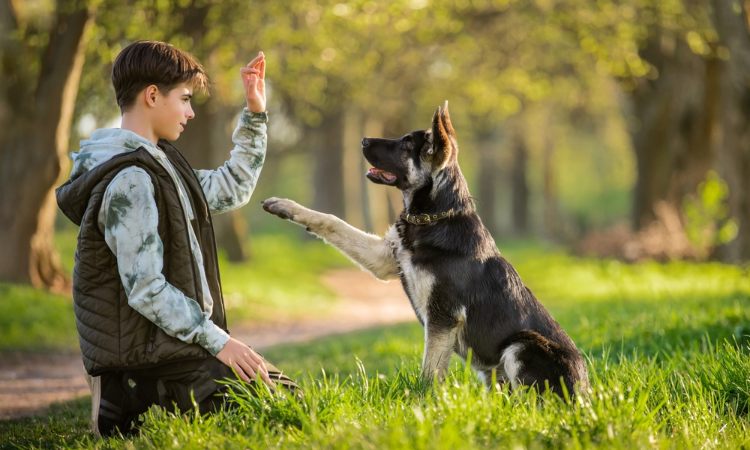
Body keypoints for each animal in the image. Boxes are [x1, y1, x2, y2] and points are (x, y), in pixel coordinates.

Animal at [262, 103, 592, 398]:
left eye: (407, 144)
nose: (363, 140)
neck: (434, 217)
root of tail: (585, 395)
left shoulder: (443, 317)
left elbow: (429, 374)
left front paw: (423, 403)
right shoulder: (384, 259)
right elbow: (332, 221)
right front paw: (284, 206)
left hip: (521, 345)